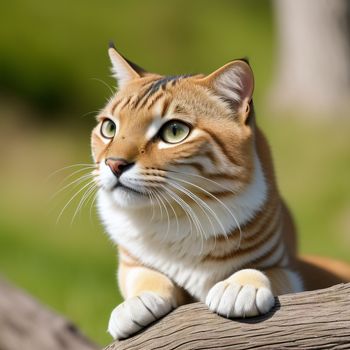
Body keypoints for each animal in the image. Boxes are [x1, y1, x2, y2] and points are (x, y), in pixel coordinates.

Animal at [91, 43, 350, 340]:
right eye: (109, 127)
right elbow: (146, 275)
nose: (113, 164)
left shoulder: (288, 267)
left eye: (174, 131)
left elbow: (269, 272)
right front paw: (135, 304)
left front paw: (238, 288)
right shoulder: (130, 262)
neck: (179, 213)